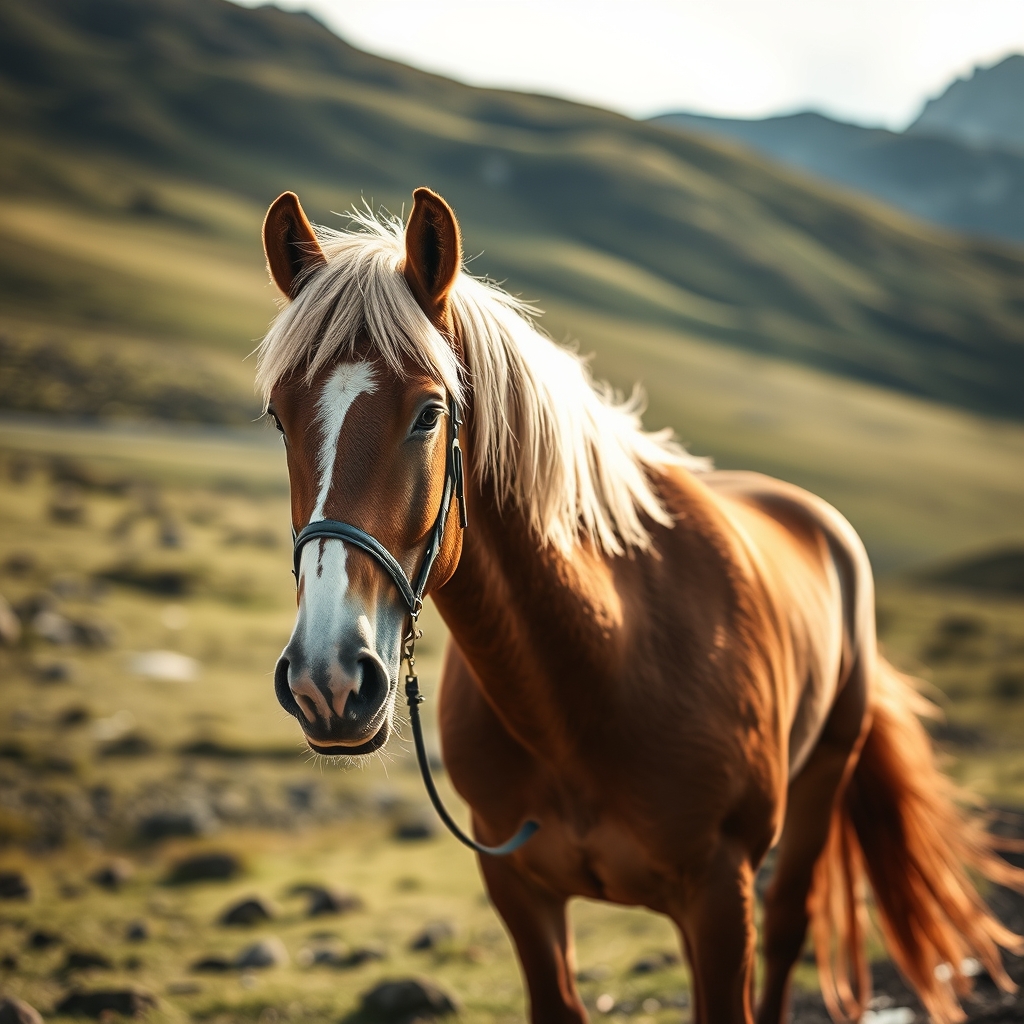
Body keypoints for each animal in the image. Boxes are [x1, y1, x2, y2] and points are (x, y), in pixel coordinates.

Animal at [256, 186, 1023, 1024]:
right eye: (278, 416)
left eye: (429, 412)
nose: (328, 680)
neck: (595, 674)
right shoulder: (520, 891)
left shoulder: (719, 897)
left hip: (821, 783)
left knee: (789, 929)